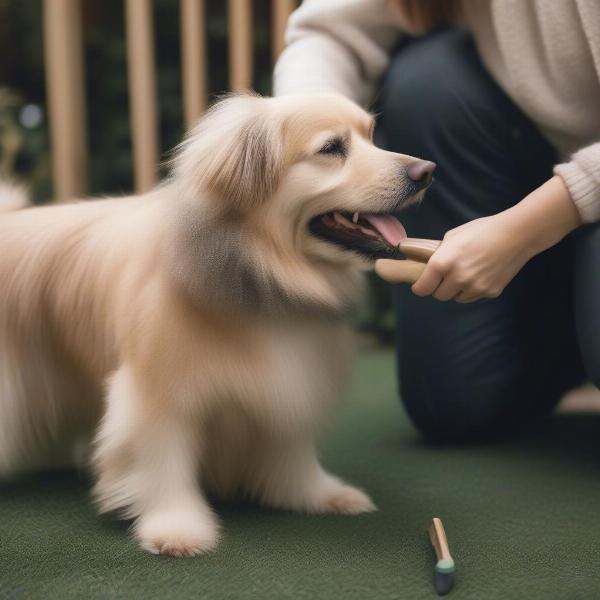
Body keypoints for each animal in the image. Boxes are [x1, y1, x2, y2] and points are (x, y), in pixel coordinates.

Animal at [0, 94, 434, 556]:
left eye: (371, 136)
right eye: (332, 148)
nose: (426, 172)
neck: (265, 274)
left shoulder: (286, 384)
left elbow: (291, 452)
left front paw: (315, 495)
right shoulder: (158, 397)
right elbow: (161, 462)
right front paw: (176, 528)